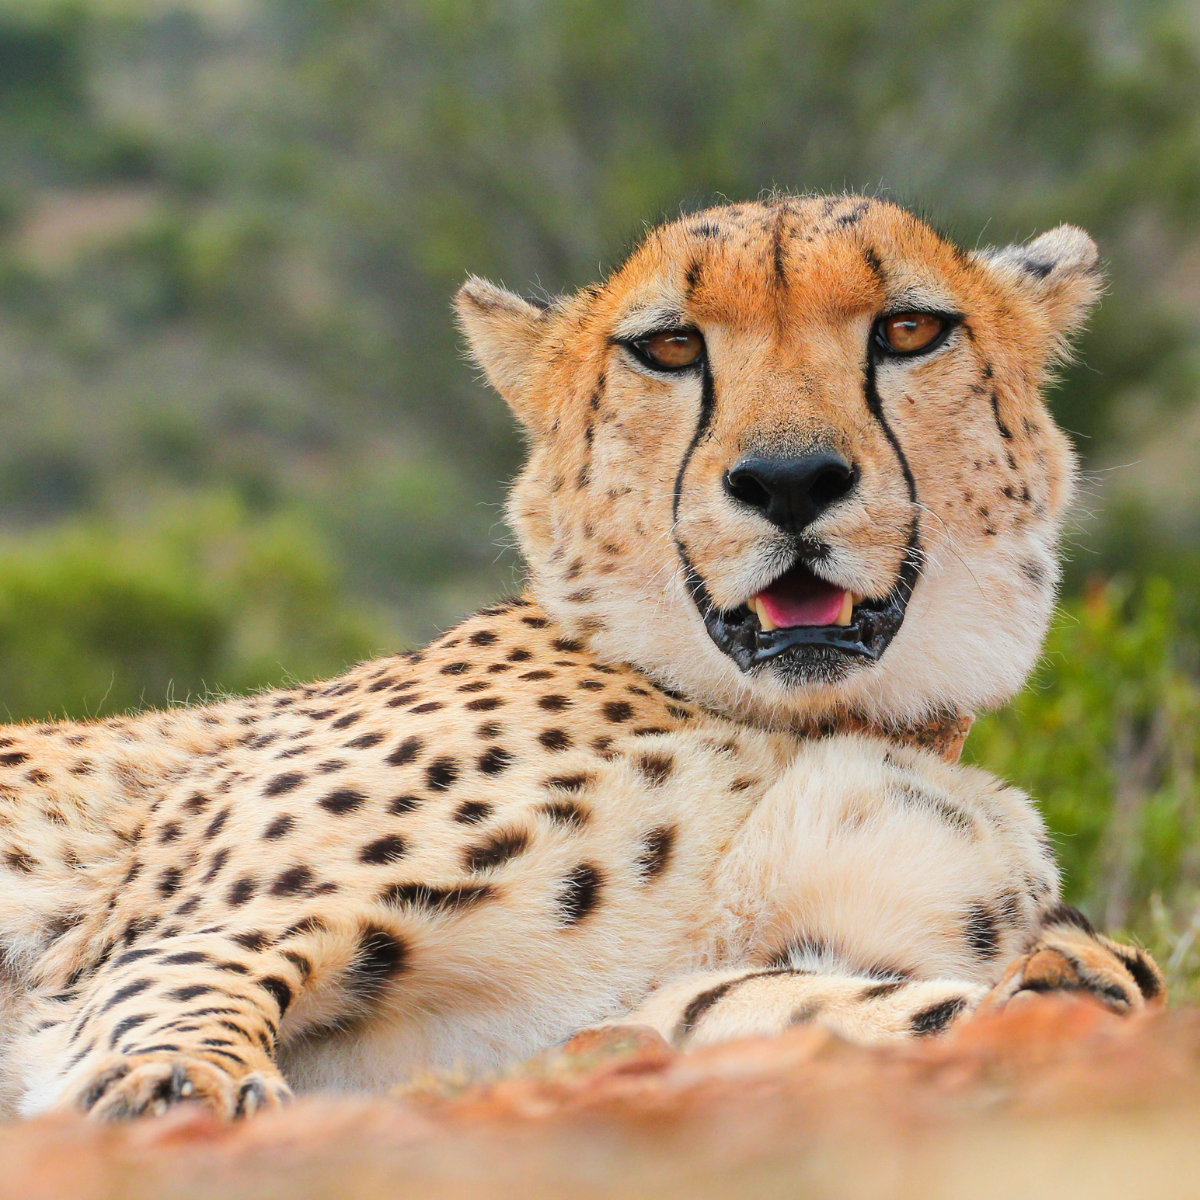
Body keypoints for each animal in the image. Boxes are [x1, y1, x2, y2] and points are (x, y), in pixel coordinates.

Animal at [0, 194, 1163, 1122]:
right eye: (670, 349)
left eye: (910, 330)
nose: (790, 479)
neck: (802, 715)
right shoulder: (191, 929)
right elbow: (183, 983)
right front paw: (171, 1084)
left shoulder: (653, 1004)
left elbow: (914, 1002)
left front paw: (1075, 978)